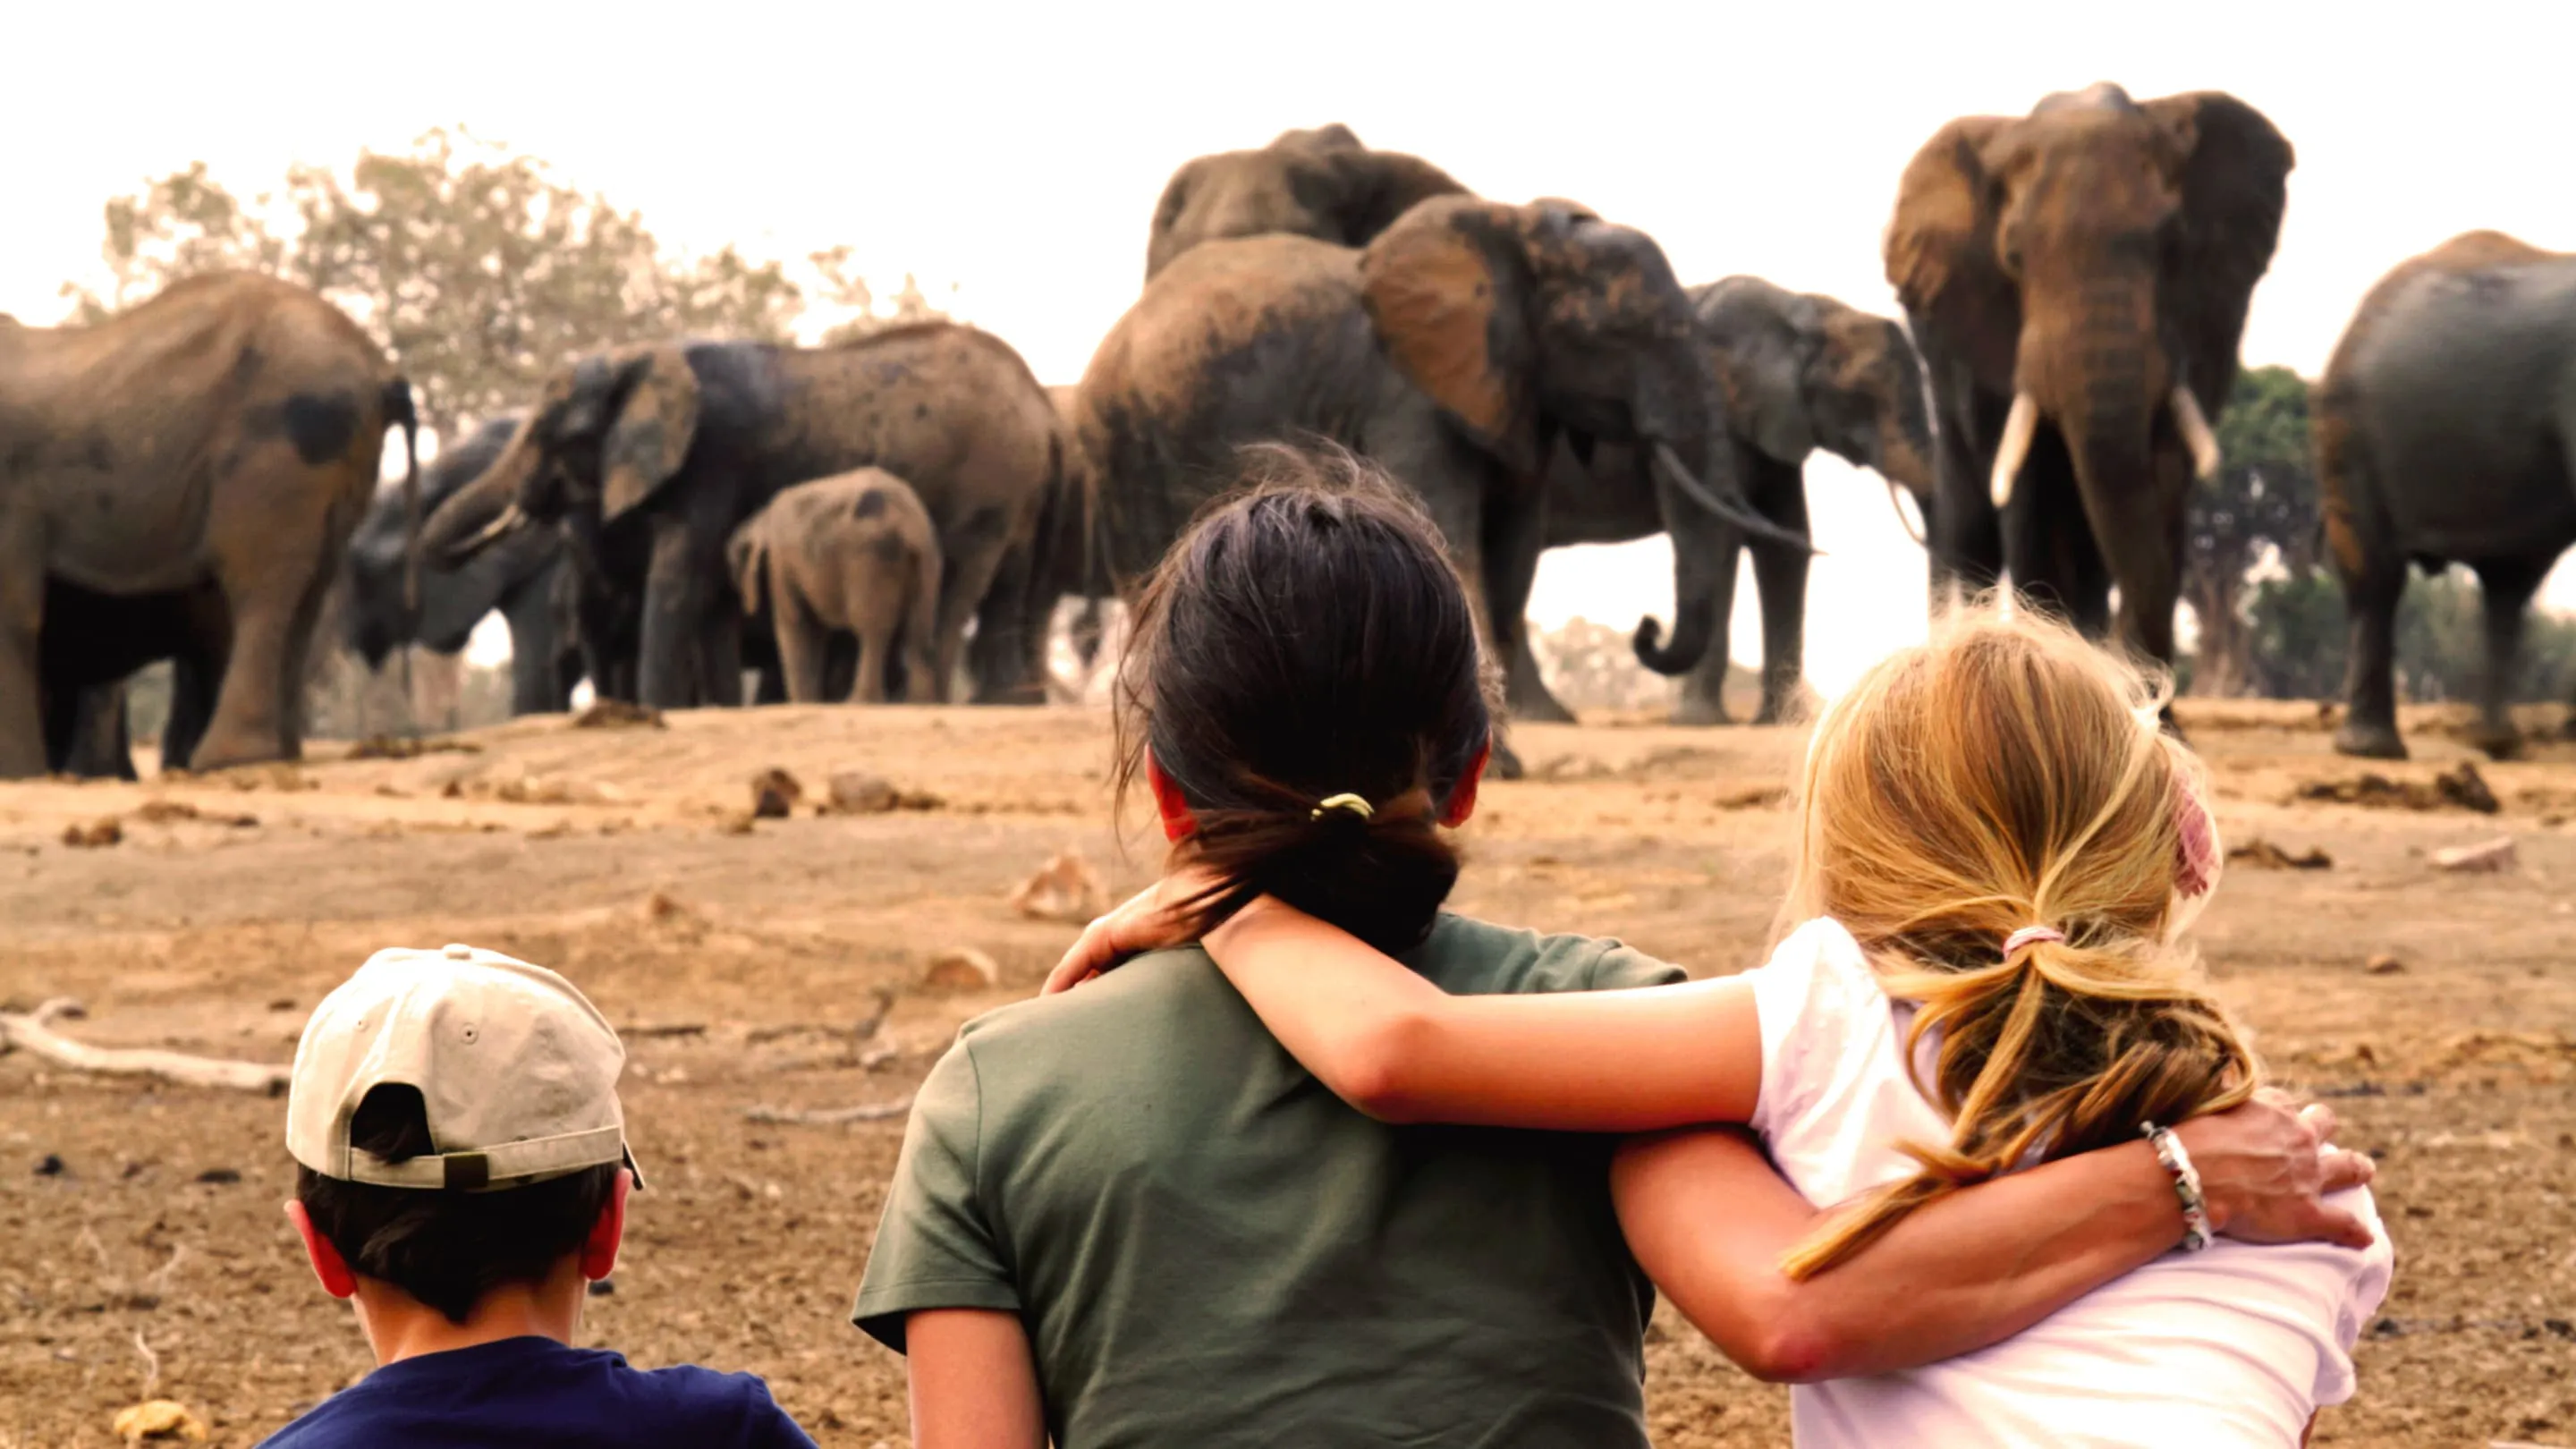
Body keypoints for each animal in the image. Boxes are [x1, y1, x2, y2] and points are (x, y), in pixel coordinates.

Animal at [3, 272, 416, 777]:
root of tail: (380, 369)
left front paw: (17, 774)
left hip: (277, 445)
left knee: (255, 582)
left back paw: (227, 760)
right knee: (307, 590)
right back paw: (279, 754)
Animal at [727, 468, 941, 704]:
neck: (761, 519)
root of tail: (911, 523)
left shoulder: (781, 563)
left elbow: (796, 622)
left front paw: (805, 703)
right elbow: (815, 630)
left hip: (870, 559)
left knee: (872, 628)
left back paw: (858, 703)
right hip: (925, 561)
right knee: (918, 630)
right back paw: (920, 704)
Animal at [1076, 195, 1808, 775]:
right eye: (1627, 333)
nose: (1646, 627)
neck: (1513, 233)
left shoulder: (1516, 395)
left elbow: (1511, 562)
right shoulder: (1410, 396)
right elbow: (1449, 540)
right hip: (1124, 441)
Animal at [1508, 277, 1936, 727]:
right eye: (1863, 396)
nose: (1647, 626)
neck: (1804, 311)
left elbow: (1784, 547)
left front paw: (1780, 722)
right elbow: (1722, 538)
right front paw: (1701, 721)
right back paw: (1546, 716)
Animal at [1887, 84, 2292, 684]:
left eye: (2172, 247)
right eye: (2013, 258)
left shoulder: (2205, 322)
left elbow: (2162, 483)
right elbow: (2030, 500)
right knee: (1969, 527)